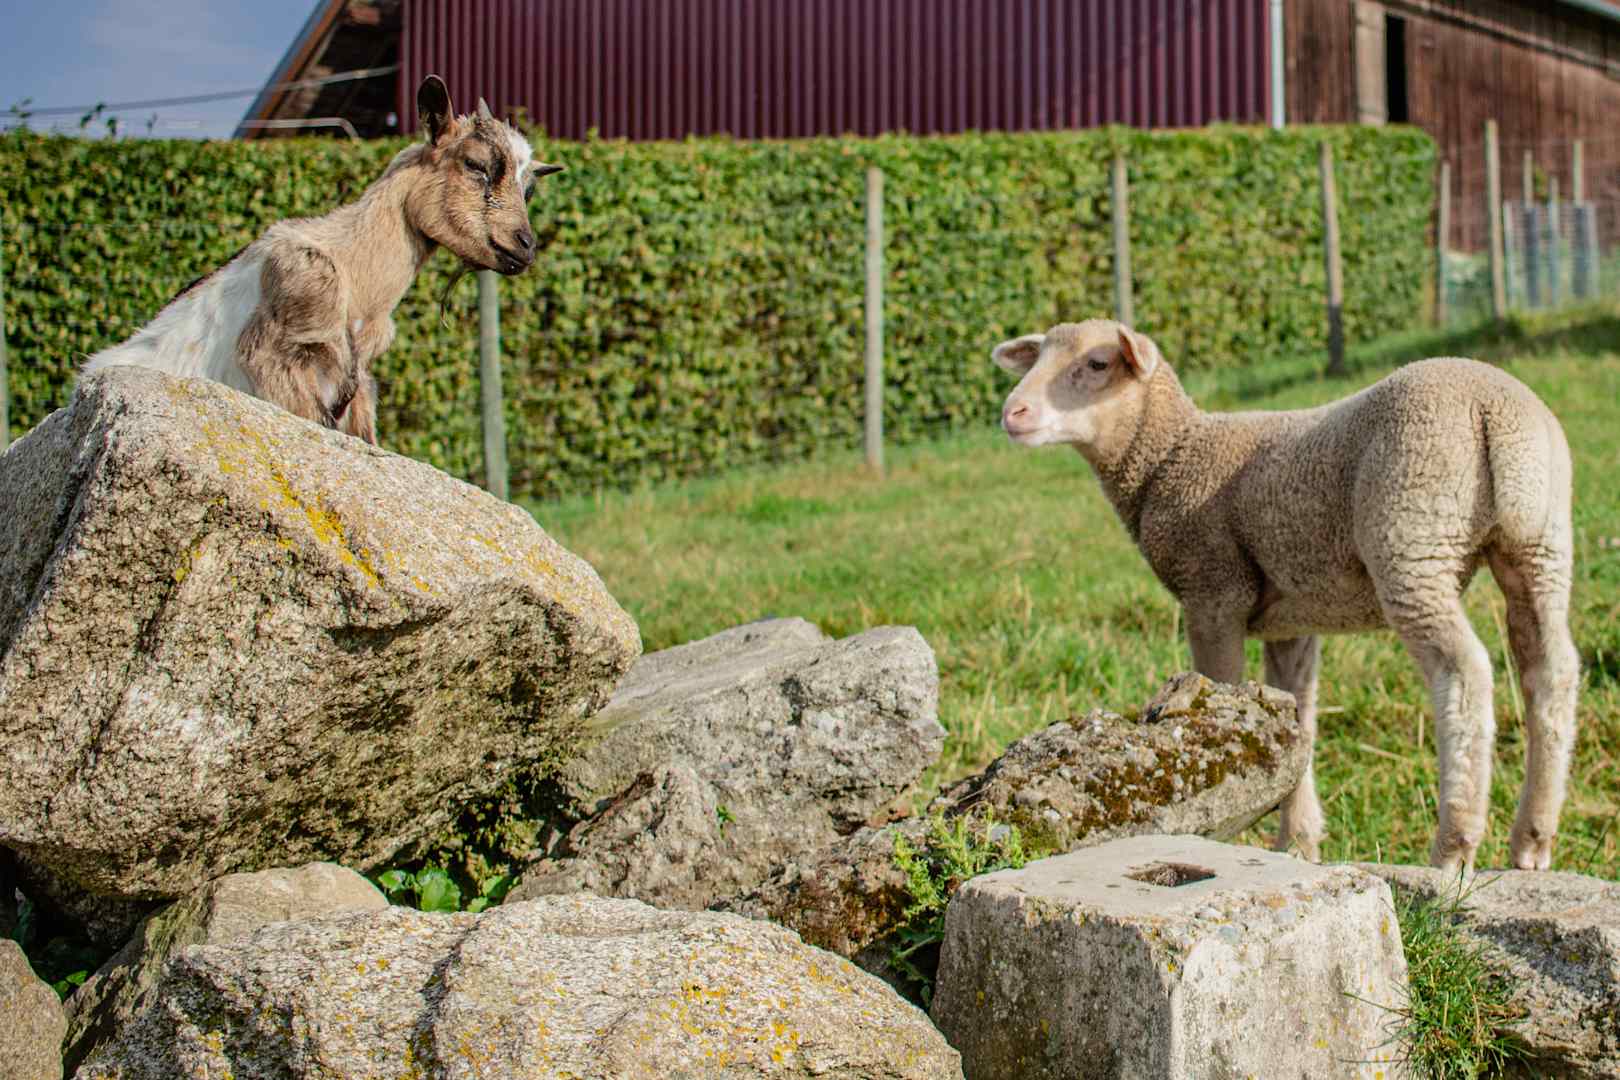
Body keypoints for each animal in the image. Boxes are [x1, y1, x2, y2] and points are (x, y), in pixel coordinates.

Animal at [81, 75, 563, 444]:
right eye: (476, 165)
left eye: (528, 188)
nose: (525, 245)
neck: (356, 277)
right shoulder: (282, 355)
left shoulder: (360, 391)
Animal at [992, 318, 1578, 875]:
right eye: (1037, 356)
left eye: (1096, 364)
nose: (1011, 412)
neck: (1169, 456)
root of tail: (1493, 407)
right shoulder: (1293, 621)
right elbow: (1298, 717)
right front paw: (1297, 842)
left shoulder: (1212, 590)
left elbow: (1224, 692)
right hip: (1540, 542)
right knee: (1551, 670)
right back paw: (1533, 839)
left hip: (1412, 534)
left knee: (1465, 672)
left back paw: (1454, 844)